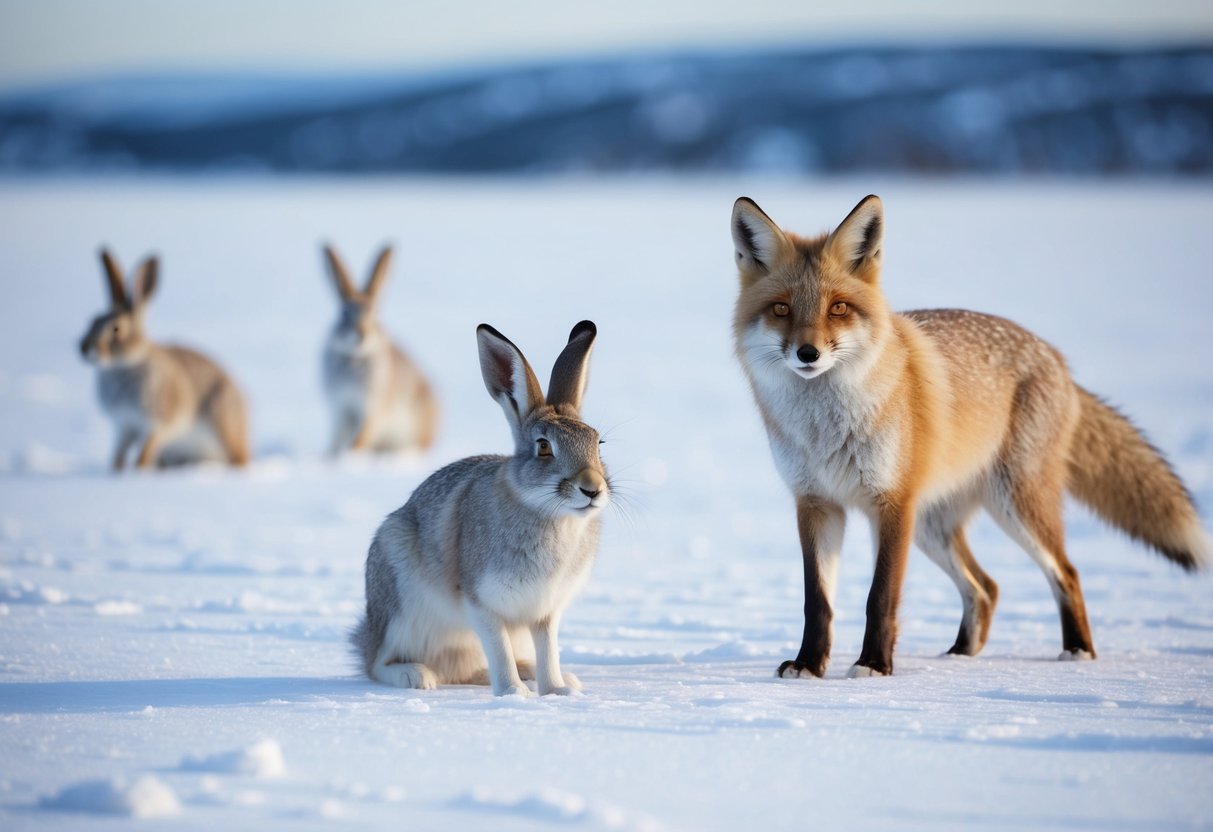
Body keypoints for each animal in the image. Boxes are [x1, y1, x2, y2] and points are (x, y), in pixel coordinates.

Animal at [731, 194, 1210, 678]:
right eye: (782, 309)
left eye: (838, 308)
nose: (807, 353)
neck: (823, 429)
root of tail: (1058, 358)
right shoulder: (816, 503)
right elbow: (817, 601)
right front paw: (809, 666)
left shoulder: (892, 504)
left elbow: (879, 597)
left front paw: (873, 666)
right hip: (932, 526)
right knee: (986, 587)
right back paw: (961, 655)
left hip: (1013, 504)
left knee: (1066, 573)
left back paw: (1077, 650)